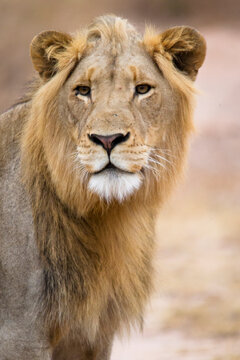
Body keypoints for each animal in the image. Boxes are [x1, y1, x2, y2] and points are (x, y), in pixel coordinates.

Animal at [0, 14, 206, 360]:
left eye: (142, 89)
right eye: (82, 90)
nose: (108, 139)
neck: (104, 217)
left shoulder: (91, 336)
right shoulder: (20, 334)